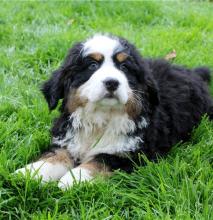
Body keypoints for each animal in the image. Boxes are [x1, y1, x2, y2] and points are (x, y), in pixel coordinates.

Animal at [15, 33, 213, 190]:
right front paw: (31, 172)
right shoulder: (68, 139)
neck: (101, 118)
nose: (112, 82)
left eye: (124, 67)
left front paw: (74, 178)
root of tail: (193, 72)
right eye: (92, 66)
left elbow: (102, 159)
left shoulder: (134, 153)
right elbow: (55, 155)